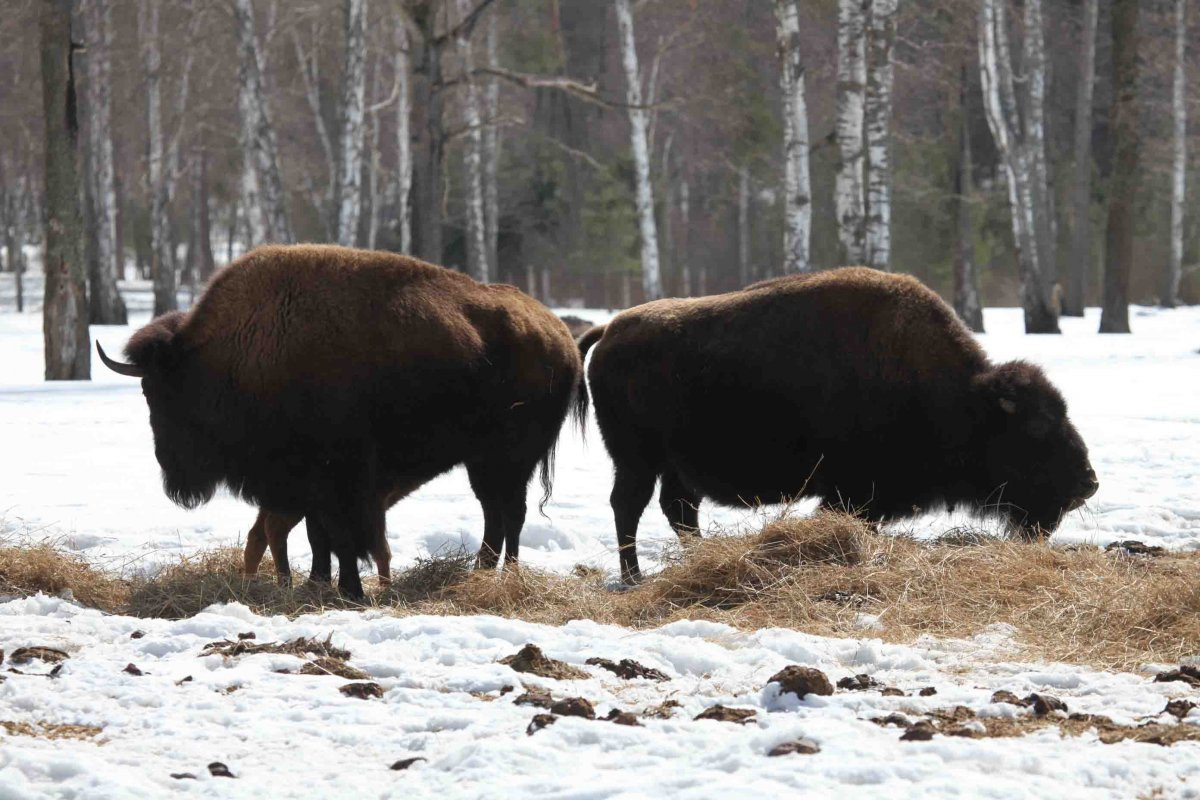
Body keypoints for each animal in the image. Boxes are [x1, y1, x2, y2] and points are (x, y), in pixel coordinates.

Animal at [98, 247, 580, 597]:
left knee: (508, 513)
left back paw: (502, 575)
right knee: (496, 514)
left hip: (507, 460)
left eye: (164, 394)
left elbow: (340, 537)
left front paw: (348, 590)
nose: (174, 475)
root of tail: (562, 340)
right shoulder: (309, 485)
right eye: (148, 393)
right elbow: (320, 537)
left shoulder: (338, 480)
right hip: (487, 462)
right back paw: (483, 572)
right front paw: (320, 584)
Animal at [576, 268, 1099, 582]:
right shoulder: (852, 490)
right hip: (636, 460)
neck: (959, 396)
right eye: (1037, 427)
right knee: (629, 507)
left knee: (677, 509)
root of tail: (611, 331)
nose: (1088, 484)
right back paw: (633, 576)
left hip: (673, 465)